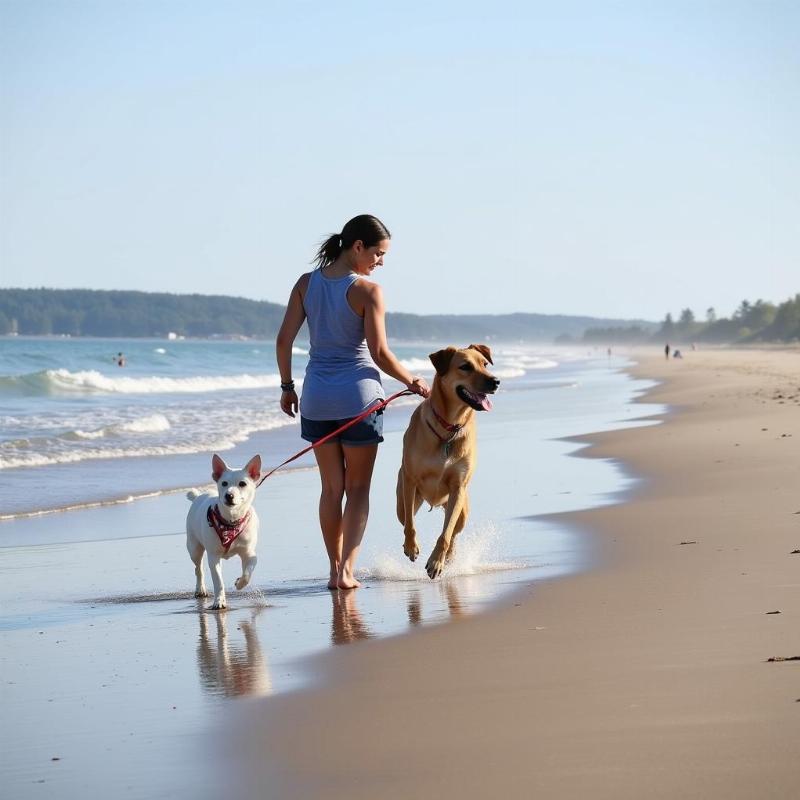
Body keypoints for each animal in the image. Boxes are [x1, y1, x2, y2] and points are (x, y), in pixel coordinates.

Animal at [186, 454, 260, 608]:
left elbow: (247, 573)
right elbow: (218, 581)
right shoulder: (213, 557)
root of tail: (198, 496)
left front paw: (239, 583)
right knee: (198, 569)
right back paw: (200, 589)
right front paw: (219, 601)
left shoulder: (249, 554)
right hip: (194, 547)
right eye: (224, 483)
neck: (231, 522)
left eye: (242, 484)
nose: (229, 495)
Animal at [396, 342, 500, 576]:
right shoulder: (410, 480)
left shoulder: (458, 487)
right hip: (404, 500)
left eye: (485, 364)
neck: (449, 427)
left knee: (454, 531)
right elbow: (410, 524)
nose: (496, 381)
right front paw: (411, 547)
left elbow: (446, 533)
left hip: (462, 509)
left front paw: (436, 562)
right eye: (465, 367)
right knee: (406, 517)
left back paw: (449, 557)